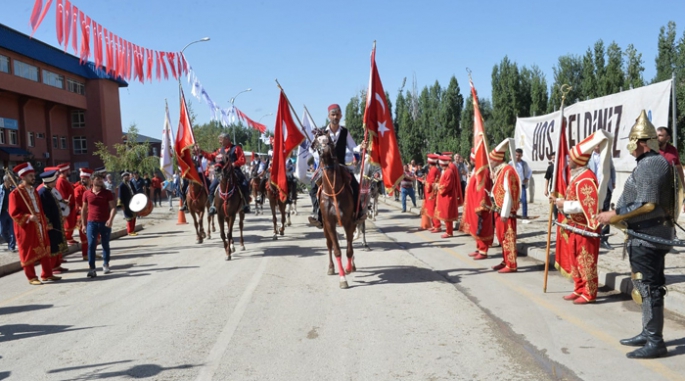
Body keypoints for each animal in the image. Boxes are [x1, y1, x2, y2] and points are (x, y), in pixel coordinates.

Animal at [312, 131, 358, 288]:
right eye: (317, 141)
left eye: (330, 139)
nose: (325, 149)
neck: (333, 190)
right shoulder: (330, 224)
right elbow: (337, 250)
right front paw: (343, 278)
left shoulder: (349, 222)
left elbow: (349, 249)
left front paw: (349, 268)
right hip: (325, 228)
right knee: (329, 245)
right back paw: (331, 268)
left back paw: (352, 266)